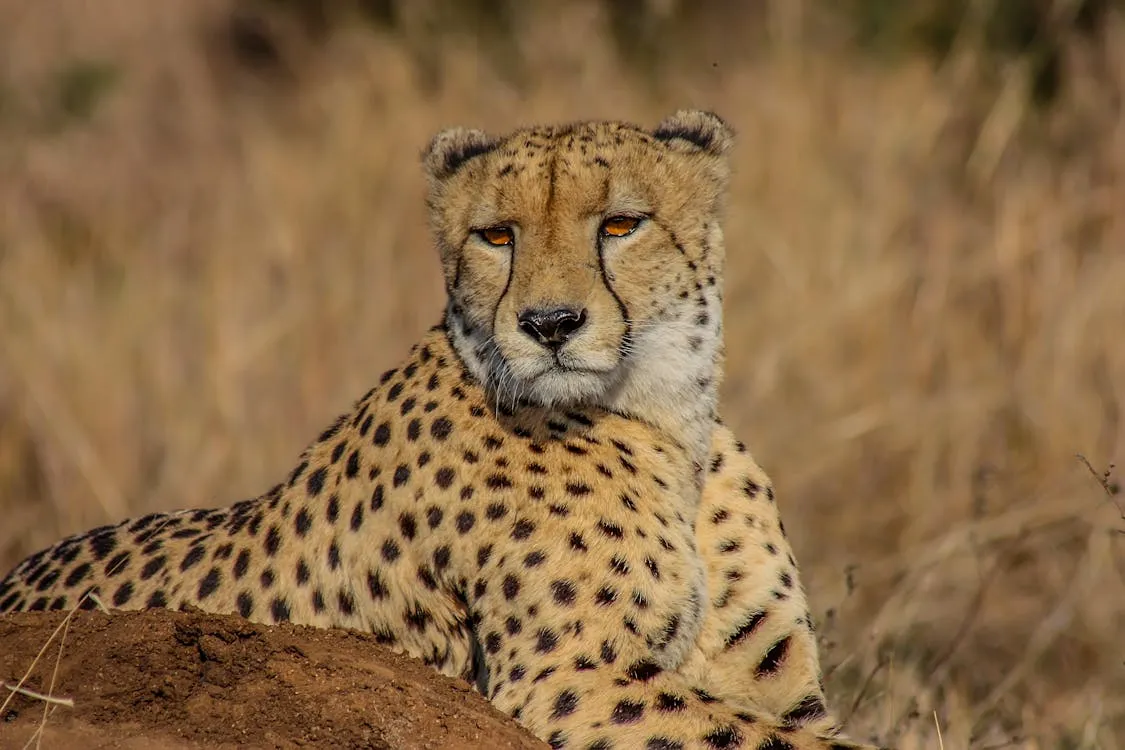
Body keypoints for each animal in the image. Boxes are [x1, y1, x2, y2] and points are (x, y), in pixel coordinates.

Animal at [2, 111, 877, 750]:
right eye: (496, 236)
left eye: (620, 225)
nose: (549, 325)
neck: (664, 415)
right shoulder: (569, 681)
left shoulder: (777, 689)